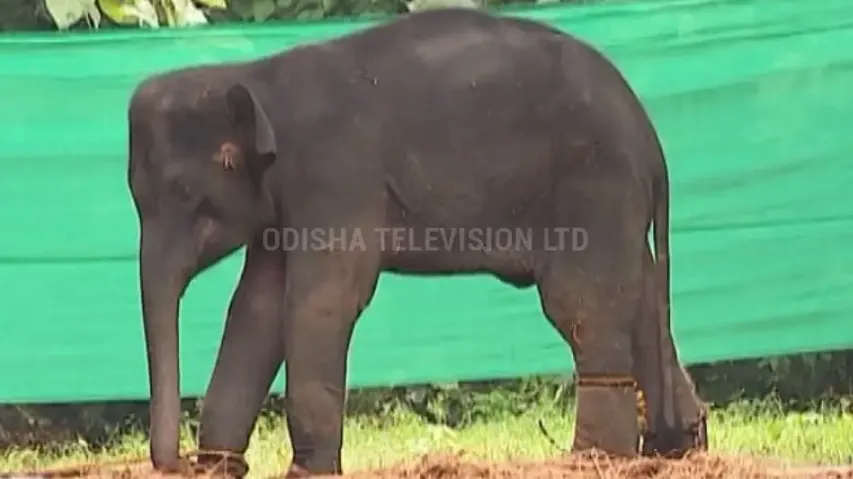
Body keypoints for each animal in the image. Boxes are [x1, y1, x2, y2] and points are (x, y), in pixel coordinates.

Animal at [126, 7, 707, 477]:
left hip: (593, 187)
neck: (257, 79)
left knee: (583, 306)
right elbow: (257, 309)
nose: (179, 462)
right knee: (641, 299)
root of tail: (652, 142)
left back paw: (596, 460)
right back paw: (678, 449)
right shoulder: (284, 208)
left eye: (184, 192)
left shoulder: (337, 176)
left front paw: (307, 471)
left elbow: (322, 302)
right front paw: (221, 468)